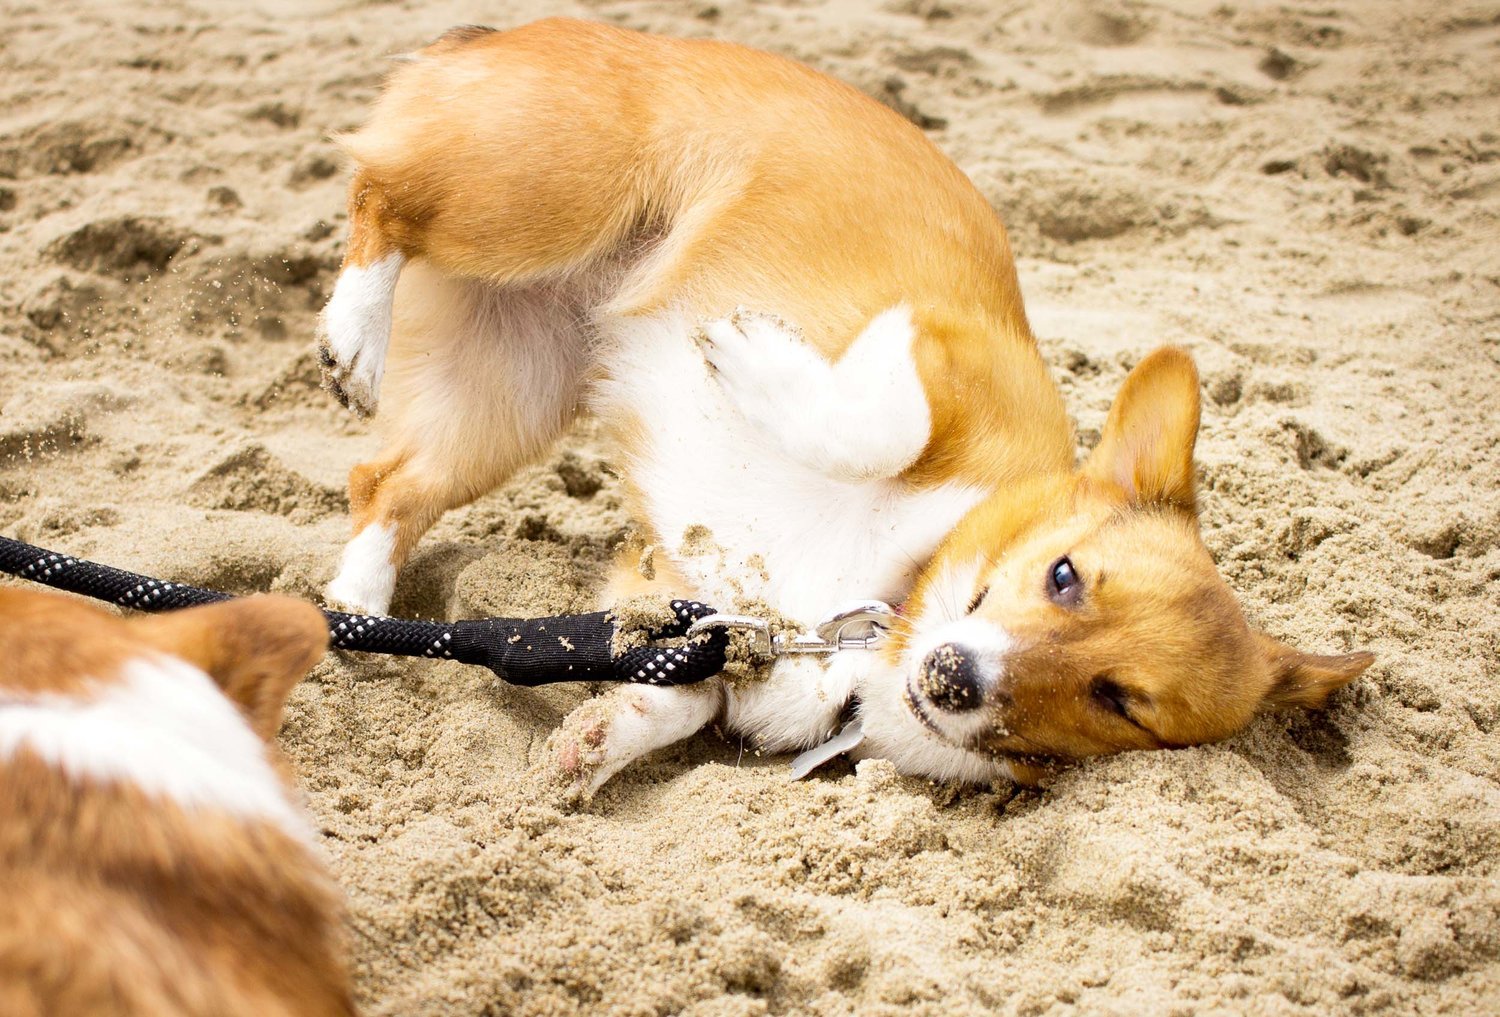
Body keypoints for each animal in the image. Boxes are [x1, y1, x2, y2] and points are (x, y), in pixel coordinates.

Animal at [316, 13, 1374, 798]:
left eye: (1124, 702)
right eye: (1065, 575)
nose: (954, 677)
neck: (886, 612)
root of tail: (503, 35)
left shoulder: (690, 609)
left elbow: (676, 696)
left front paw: (597, 743)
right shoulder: (941, 349)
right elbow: (881, 425)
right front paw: (750, 354)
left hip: (506, 392)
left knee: (387, 482)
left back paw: (356, 609)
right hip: (543, 193)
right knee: (383, 195)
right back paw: (353, 333)